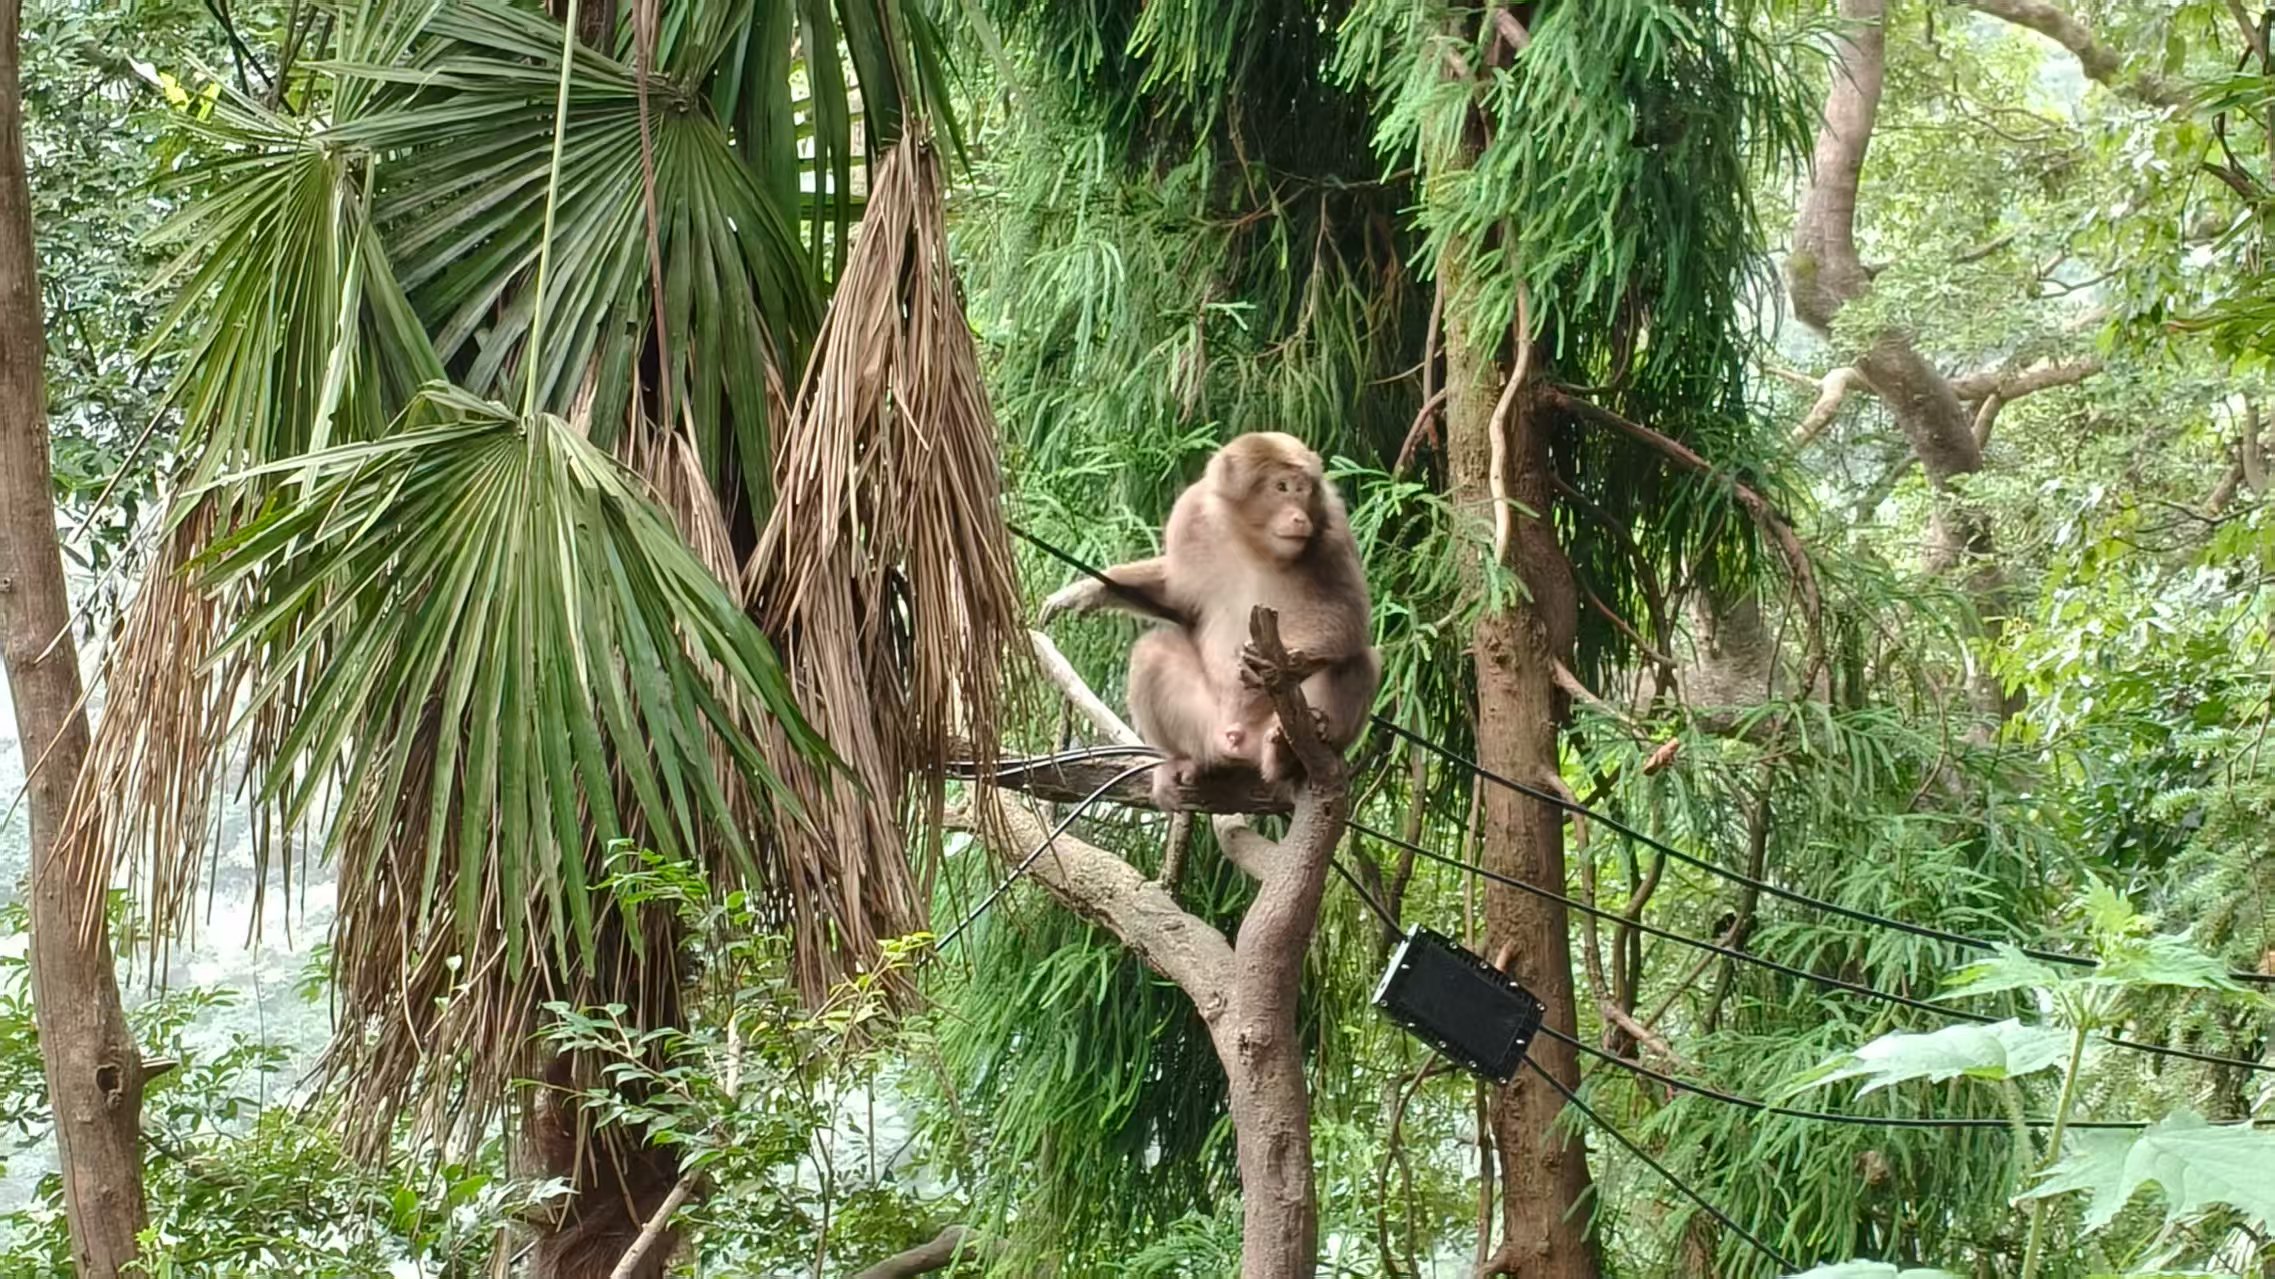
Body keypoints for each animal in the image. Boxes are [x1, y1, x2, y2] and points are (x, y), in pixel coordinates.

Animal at [1040, 431, 1380, 809]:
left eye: (1303, 489)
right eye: (1281, 487)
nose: (1299, 518)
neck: (1254, 545)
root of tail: (1240, 742)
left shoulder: (1333, 525)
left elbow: (1348, 614)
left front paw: (1280, 663)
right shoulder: (1190, 515)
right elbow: (1176, 592)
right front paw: (1089, 590)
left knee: (1358, 660)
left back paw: (1286, 754)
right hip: (1206, 726)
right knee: (1153, 651)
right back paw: (1187, 760)